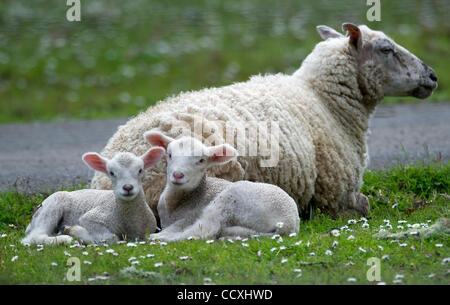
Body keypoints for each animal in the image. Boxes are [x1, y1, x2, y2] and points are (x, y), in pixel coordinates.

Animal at [20, 147, 165, 245]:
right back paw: (64, 239)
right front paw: (74, 231)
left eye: (140, 170)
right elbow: (110, 238)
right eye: (111, 173)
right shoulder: (91, 218)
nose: (128, 187)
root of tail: (31, 222)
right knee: (34, 237)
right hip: (52, 206)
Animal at [144, 129, 298, 241]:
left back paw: (159, 238)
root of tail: (288, 223)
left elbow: (184, 226)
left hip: (229, 200)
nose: (177, 175)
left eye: (201, 160)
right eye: (169, 154)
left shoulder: (191, 215)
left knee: (204, 230)